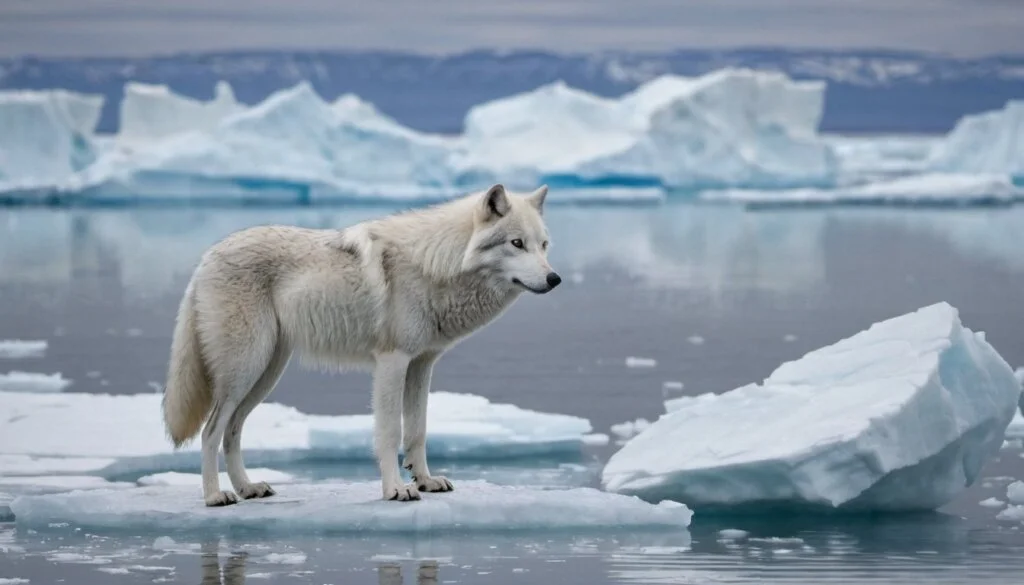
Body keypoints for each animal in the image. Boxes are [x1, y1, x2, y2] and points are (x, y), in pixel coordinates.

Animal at [161, 184, 560, 506]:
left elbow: (417, 431)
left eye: (543, 245)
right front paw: (396, 489)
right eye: (516, 243)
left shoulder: (422, 364)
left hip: (264, 375)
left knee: (232, 431)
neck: (436, 263)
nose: (554, 278)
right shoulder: (392, 362)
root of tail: (206, 258)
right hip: (244, 371)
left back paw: (247, 488)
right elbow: (390, 432)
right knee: (211, 431)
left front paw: (425, 480)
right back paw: (215, 496)